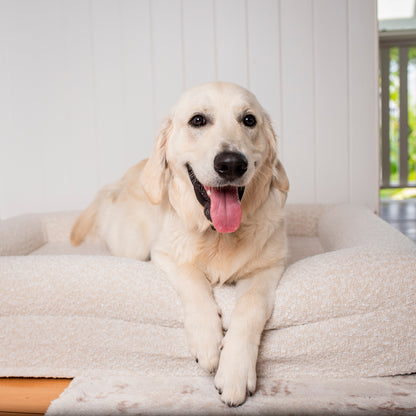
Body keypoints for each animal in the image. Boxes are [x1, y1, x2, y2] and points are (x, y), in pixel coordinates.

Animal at [70, 82, 290, 406]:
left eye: (249, 120)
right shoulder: (164, 253)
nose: (231, 163)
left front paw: (234, 372)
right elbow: (192, 279)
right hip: (132, 244)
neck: (219, 235)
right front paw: (208, 340)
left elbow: (251, 306)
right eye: (198, 120)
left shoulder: (269, 266)